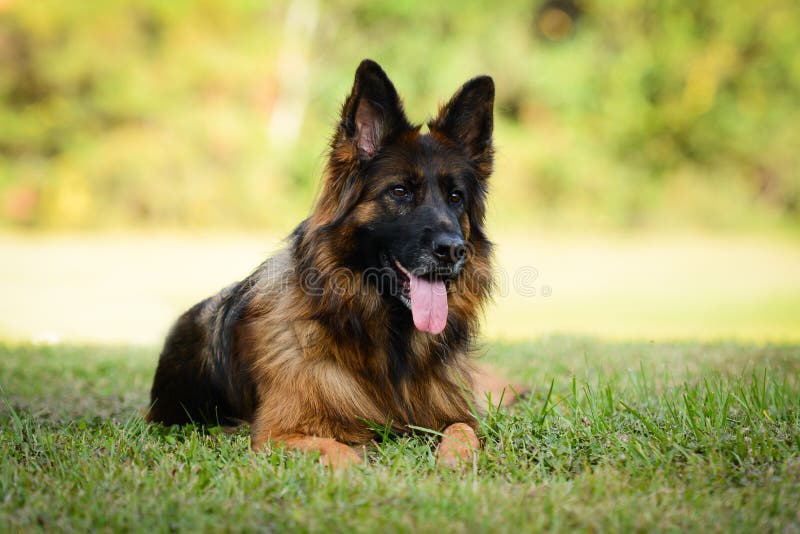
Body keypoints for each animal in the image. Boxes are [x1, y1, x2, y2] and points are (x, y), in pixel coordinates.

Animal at [147, 59, 504, 468]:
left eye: (456, 197)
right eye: (400, 191)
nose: (453, 250)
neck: (386, 342)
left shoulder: (456, 414)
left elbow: (463, 434)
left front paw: (453, 462)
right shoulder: (276, 436)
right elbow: (343, 453)